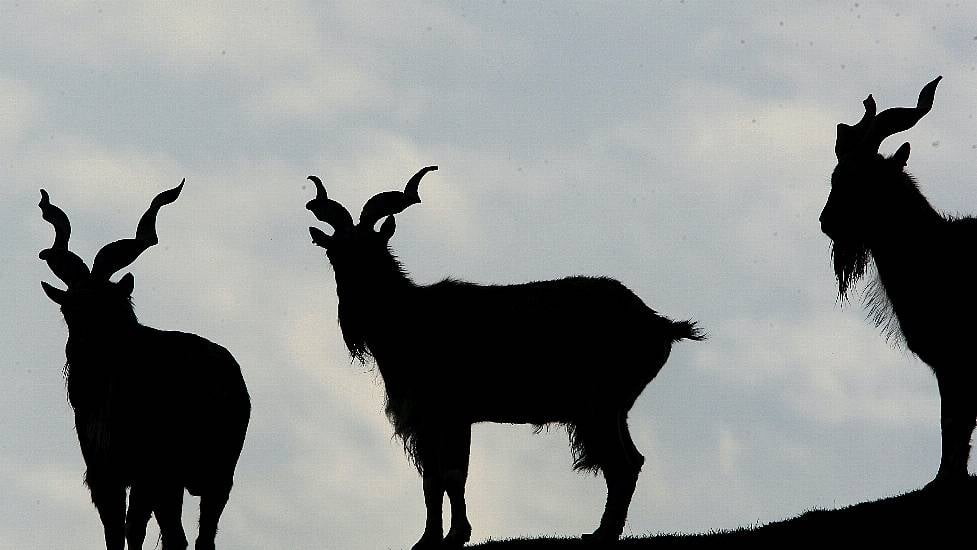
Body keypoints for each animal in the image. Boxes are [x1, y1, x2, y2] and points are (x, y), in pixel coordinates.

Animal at [37, 183, 252, 548]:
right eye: (68, 308)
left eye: (110, 305)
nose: (82, 352)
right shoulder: (105, 474)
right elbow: (116, 532)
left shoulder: (146, 471)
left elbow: (133, 528)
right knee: (180, 536)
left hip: (212, 474)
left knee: (197, 536)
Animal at [304, 167, 700, 548]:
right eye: (334, 254)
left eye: (373, 250)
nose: (354, 310)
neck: (411, 318)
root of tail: (659, 324)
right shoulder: (431, 419)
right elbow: (434, 480)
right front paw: (430, 539)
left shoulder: (450, 413)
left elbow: (451, 476)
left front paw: (454, 536)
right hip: (615, 409)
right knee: (632, 461)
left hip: (598, 407)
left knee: (619, 464)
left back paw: (602, 534)